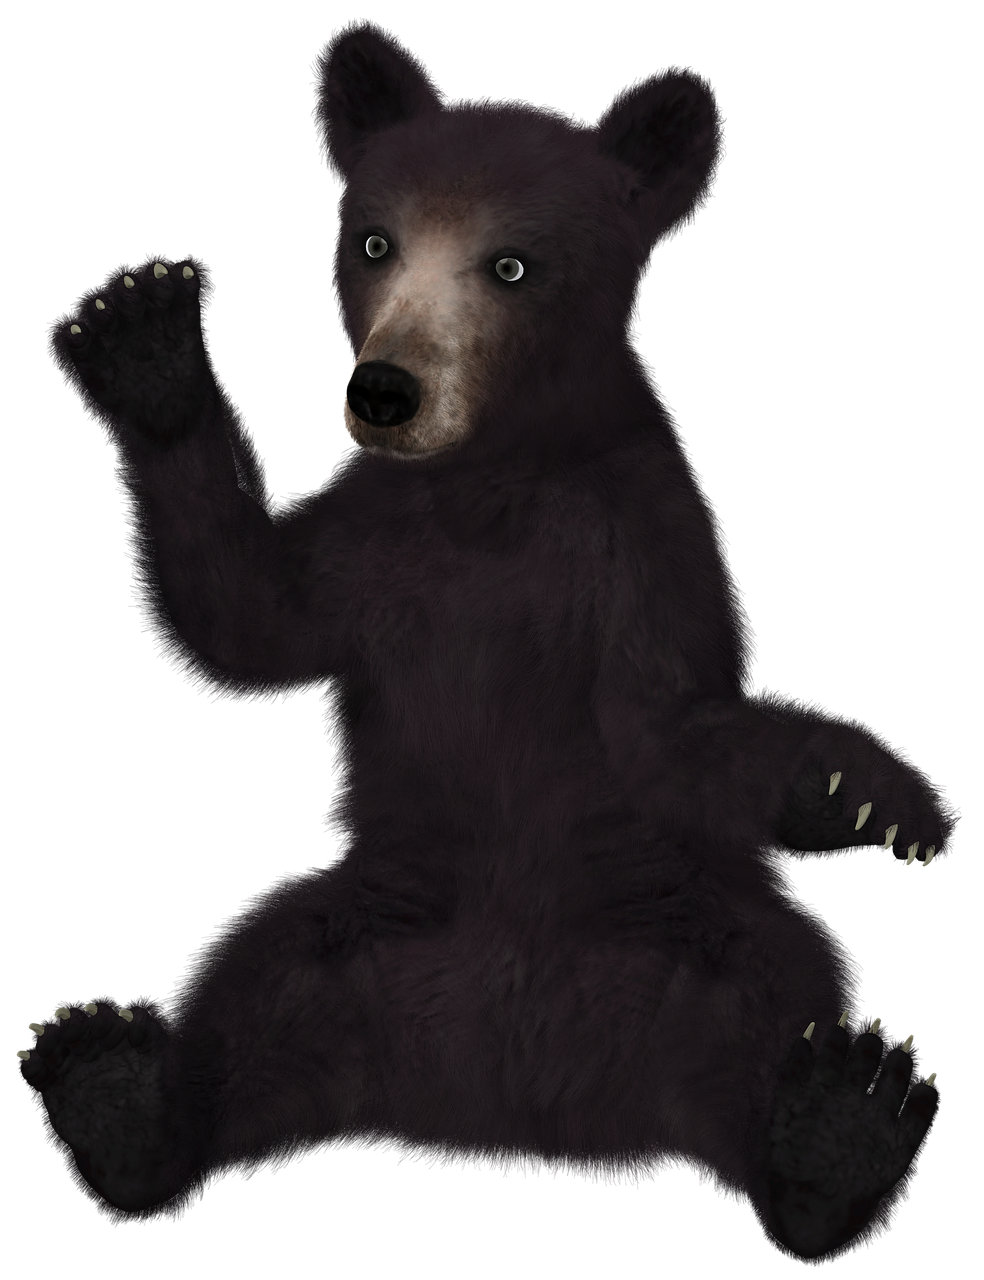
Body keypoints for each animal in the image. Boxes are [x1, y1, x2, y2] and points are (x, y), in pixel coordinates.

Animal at [19, 16, 957, 1262]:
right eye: (374, 239)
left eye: (511, 264)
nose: (384, 388)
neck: (489, 483)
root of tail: (502, 1103)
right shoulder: (370, 534)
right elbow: (248, 624)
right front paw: (143, 335)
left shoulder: (635, 537)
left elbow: (674, 725)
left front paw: (874, 791)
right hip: (357, 921)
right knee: (247, 976)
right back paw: (116, 1086)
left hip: (692, 927)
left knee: (782, 994)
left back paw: (839, 1119)